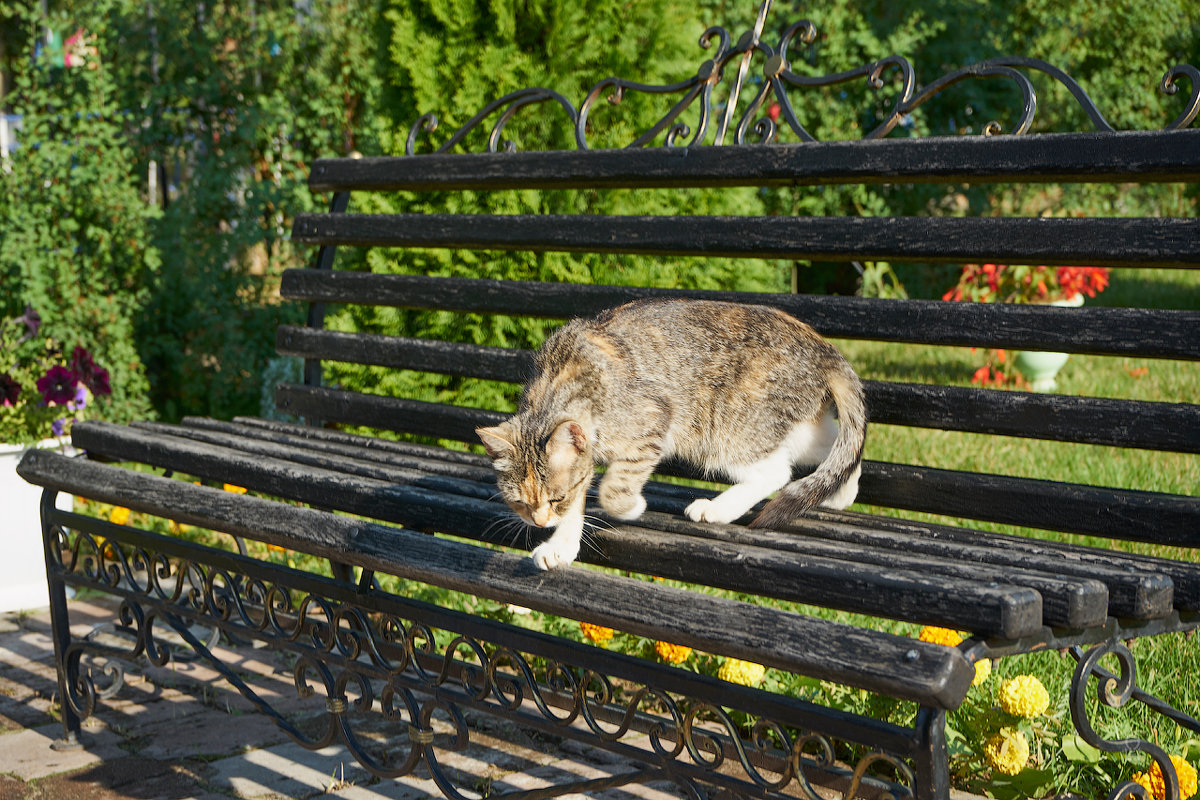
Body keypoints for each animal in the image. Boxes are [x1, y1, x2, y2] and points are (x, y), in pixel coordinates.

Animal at [472, 298, 868, 568]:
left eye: (554, 498)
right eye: (521, 502)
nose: (538, 521)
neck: (559, 382)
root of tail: (824, 347)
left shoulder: (653, 418)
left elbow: (613, 489)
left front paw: (631, 506)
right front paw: (562, 545)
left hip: (727, 426)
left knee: (778, 470)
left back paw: (718, 509)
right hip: (791, 422)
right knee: (838, 445)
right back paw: (840, 489)